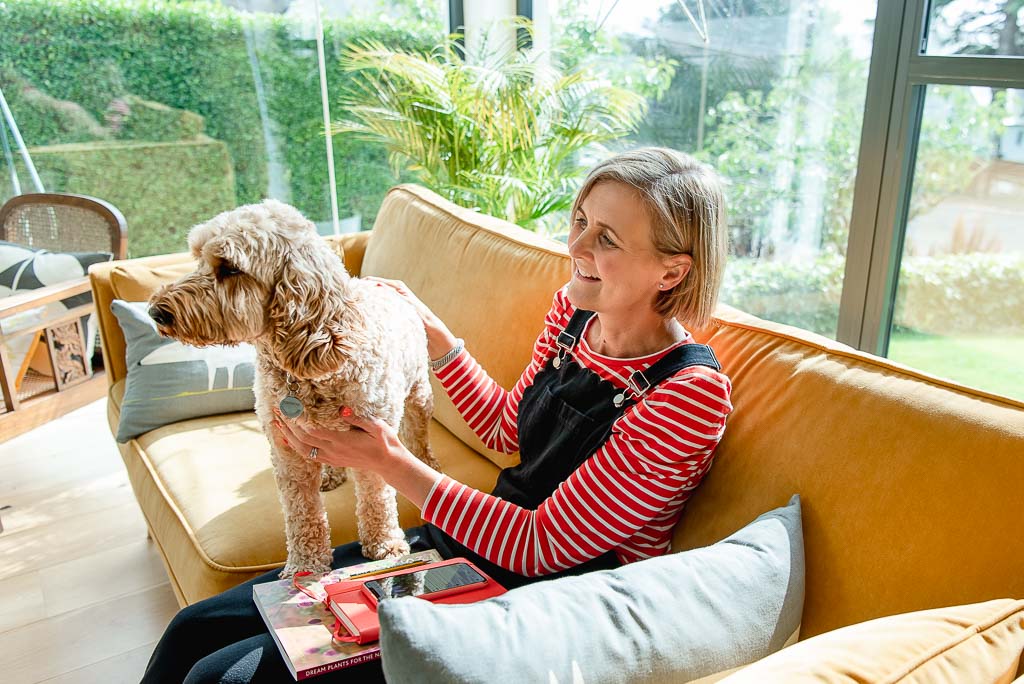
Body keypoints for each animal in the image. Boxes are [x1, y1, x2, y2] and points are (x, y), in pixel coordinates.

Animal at [149, 198, 438, 577]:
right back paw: (330, 474)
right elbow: (302, 513)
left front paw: (384, 543)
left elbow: (376, 496)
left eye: (229, 268)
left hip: (418, 391)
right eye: (197, 257)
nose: (156, 312)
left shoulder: (372, 443)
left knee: (418, 433)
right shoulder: (285, 451)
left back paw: (426, 461)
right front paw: (305, 566)